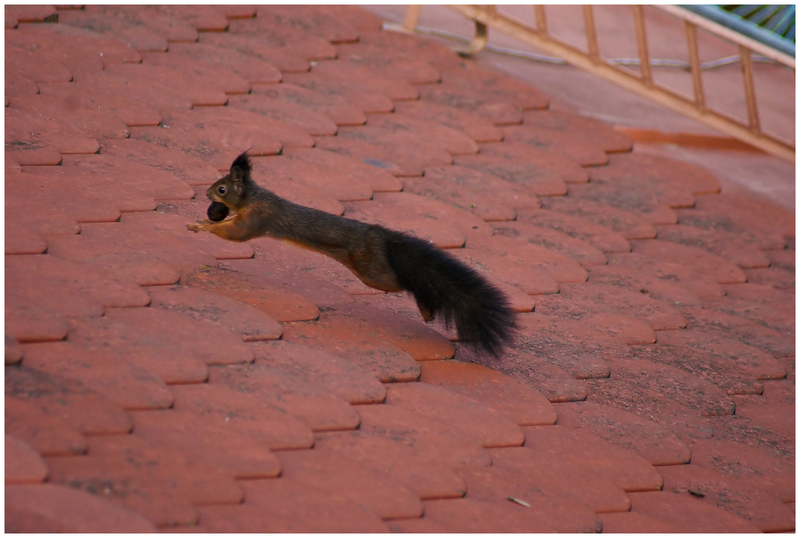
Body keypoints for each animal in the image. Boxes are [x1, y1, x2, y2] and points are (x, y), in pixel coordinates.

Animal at [186, 150, 512, 356]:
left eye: (222, 189)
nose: (206, 194)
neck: (253, 196)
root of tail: (381, 237)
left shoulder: (256, 219)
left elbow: (235, 234)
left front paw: (201, 224)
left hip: (373, 272)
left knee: (406, 282)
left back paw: (425, 306)